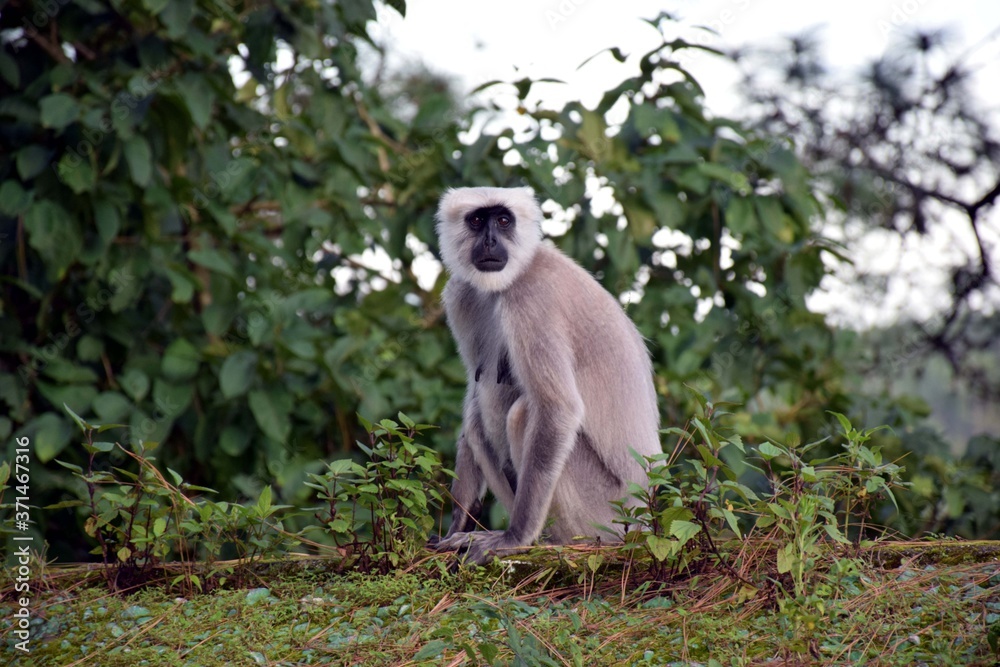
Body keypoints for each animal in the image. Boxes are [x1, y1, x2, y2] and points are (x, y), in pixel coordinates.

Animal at [426, 187, 660, 564]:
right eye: (477, 220)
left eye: (503, 220)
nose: (490, 240)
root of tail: (644, 522)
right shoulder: (461, 295)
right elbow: (475, 397)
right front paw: (456, 525)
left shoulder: (531, 298)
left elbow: (558, 409)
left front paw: (514, 538)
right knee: (477, 422)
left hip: (606, 514)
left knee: (524, 413)